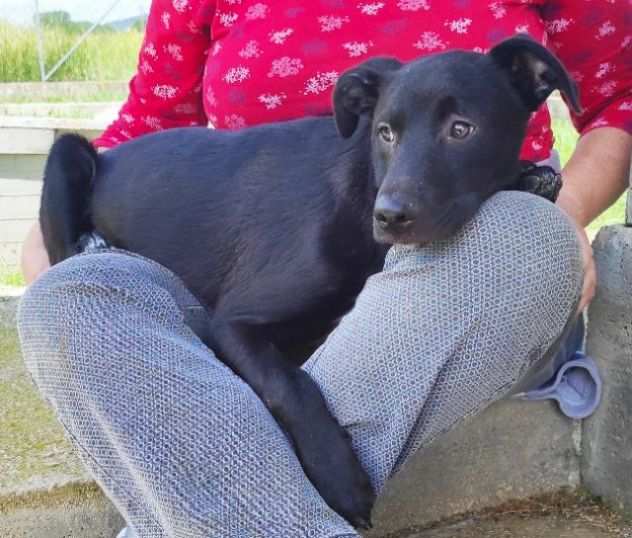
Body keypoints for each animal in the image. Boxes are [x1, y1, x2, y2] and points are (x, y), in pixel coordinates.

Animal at [39, 35, 580, 524]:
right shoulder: (233, 322)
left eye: (462, 129)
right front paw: (337, 474)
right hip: (66, 152)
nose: (389, 216)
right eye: (385, 133)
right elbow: (290, 383)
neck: (363, 194)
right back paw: (93, 246)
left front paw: (533, 177)